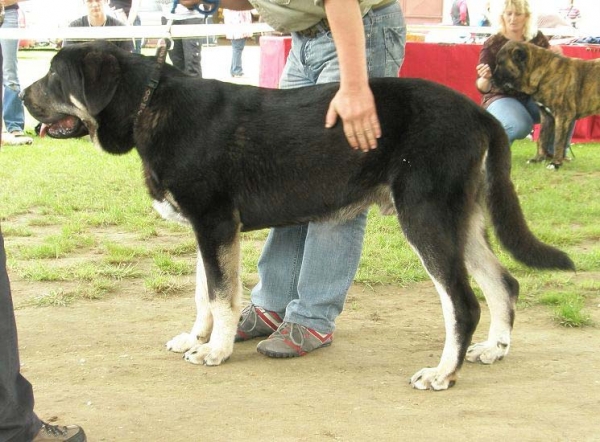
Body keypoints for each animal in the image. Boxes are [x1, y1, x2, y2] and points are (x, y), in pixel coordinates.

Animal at [492, 41, 600, 169]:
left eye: (500, 63)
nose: (491, 79)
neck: (544, 73)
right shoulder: (546, 115)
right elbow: (542, 138)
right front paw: (538, 159)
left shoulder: (562, 115)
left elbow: (558, 141)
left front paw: (555, 163)